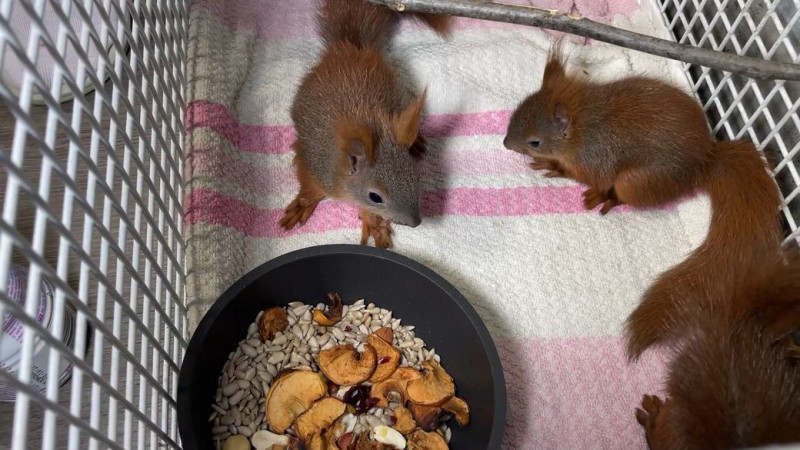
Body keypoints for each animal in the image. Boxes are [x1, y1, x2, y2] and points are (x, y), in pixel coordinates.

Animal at [278, 0, 446, 248]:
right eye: (375, 197)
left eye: (415, 176)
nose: (416, 222)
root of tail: (350, 47)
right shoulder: (315, 165)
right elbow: (309, 185)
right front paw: (302, 203)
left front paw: (373, 223)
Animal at [506, 47, 780, 360]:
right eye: (516, 112)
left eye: (535, 142)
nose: (504, 143)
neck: (582, 126)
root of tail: (704, 163)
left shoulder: (594, 160)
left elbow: (589, 176)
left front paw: (554, 166)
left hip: (634, 183)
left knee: (620, 193)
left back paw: (607, 199)